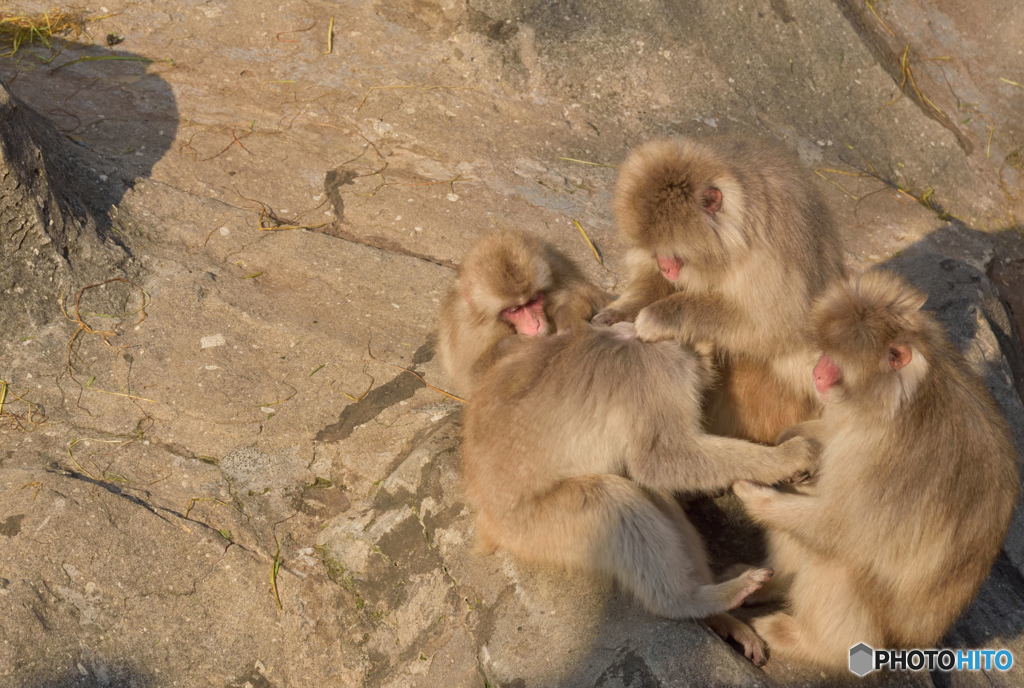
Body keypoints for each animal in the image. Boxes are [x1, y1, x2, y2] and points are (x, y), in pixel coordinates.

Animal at [438, 229, 606, 395]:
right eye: (515, 309)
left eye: (533, 301)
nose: (535, 324)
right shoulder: (470, 329)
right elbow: (473, 377)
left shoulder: (560, 271)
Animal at [598, 137, 843, 444]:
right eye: (655, 251)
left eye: (674, 254)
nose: (665, 266)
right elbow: (653, 279)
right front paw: (622, 311)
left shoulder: (769, 250)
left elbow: (772, 324)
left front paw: (658, 317)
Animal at [733, 272, 1019, 667]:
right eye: (823, 352)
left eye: (833, 360)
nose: (816, 373)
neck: (902, 398)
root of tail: (918, 641)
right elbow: (832, 435)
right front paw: (790, 445)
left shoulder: (888, 460)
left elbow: (839, 528)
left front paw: (754, 495)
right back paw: (771, 584)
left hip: (884, 624)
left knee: (839, 559)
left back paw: (811, 643)